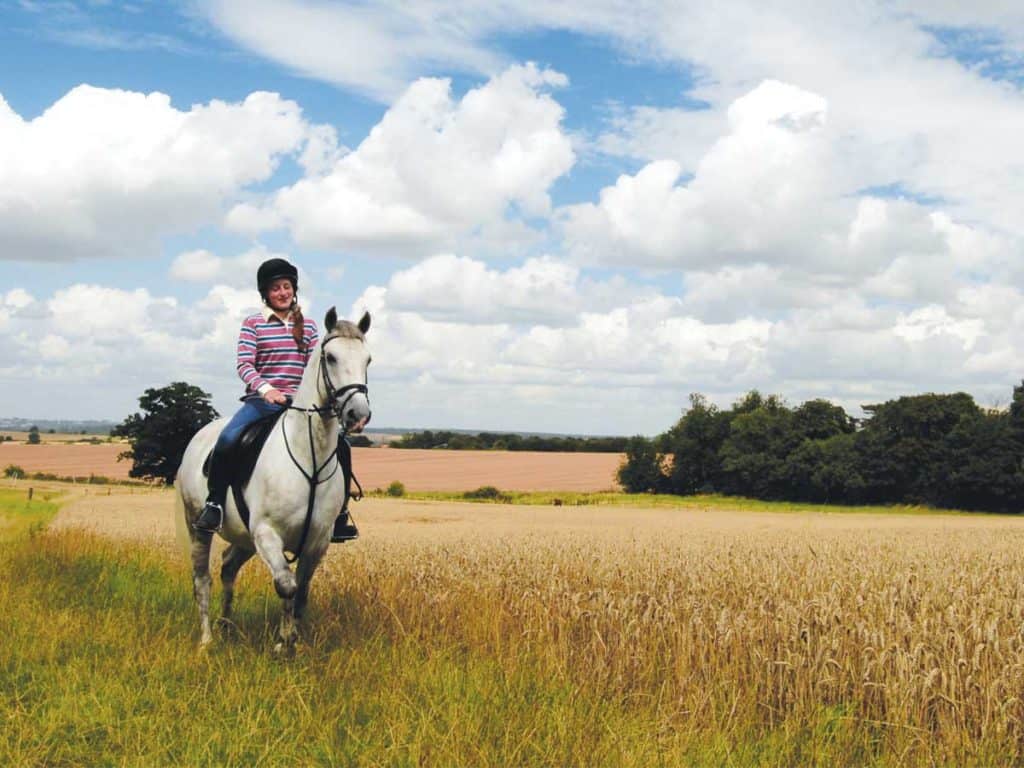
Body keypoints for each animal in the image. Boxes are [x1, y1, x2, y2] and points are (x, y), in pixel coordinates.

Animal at [177, 309, 372, 651]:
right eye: (331, 357)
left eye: (368, 359)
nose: (358, 414)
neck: (309, 454)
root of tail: (200, 435)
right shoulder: (267, 533)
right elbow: (286, 585)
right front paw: (283, 642)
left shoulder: (318, 541)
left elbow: (302, 592)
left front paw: (293, 641)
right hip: (198, 526)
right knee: (202, 579)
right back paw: (207, 640)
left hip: (244, 537)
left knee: (228, 566)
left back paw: (226, 625)